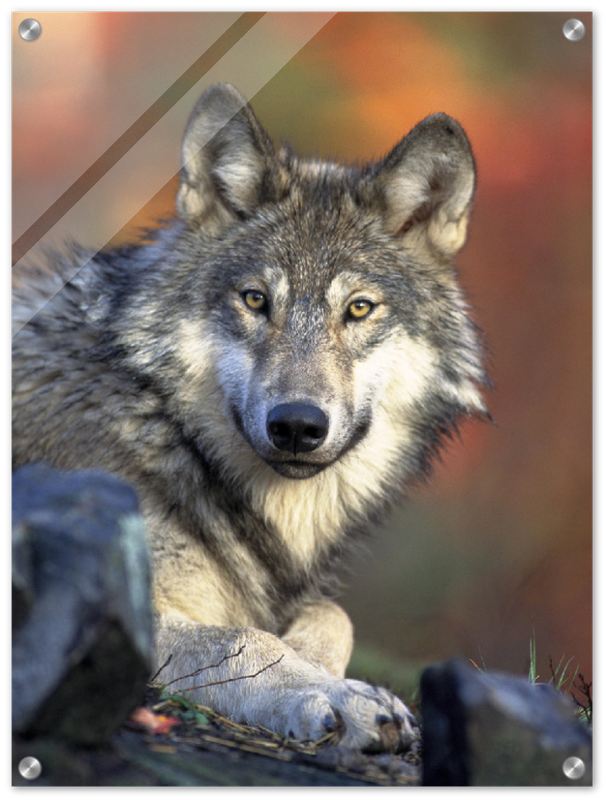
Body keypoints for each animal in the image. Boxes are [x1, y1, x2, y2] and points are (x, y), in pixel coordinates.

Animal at [12, 83, 487, 752]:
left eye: (358, 309)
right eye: (256, 300)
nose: (297, 425)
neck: (166, 431)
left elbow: (333, 614)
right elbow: (244, 638)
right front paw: (337, 696)